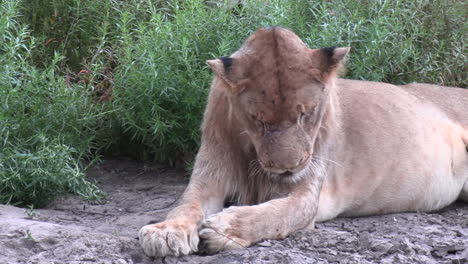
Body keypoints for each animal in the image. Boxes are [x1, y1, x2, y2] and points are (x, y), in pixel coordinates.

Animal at [139, 26, 468, 256]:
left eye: (305, 114)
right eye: (258, 120)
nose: (288, 168)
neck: (251, 153)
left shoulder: (308, 193)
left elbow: (277, 213)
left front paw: (224, 229)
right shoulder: (210, 176)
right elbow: (186, 205)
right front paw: (165, 232)